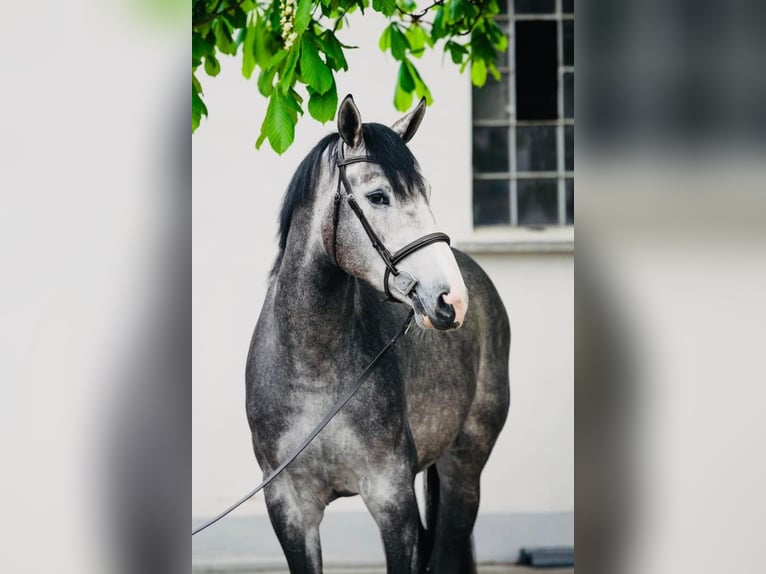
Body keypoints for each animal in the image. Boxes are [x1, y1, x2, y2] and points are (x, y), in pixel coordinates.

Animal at [246, 97, 510, 572]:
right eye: (377, 196)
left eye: (426, 194)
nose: (451, 299)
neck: (313, 371)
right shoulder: (289, 508)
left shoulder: (391, 499)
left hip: (465, 465)